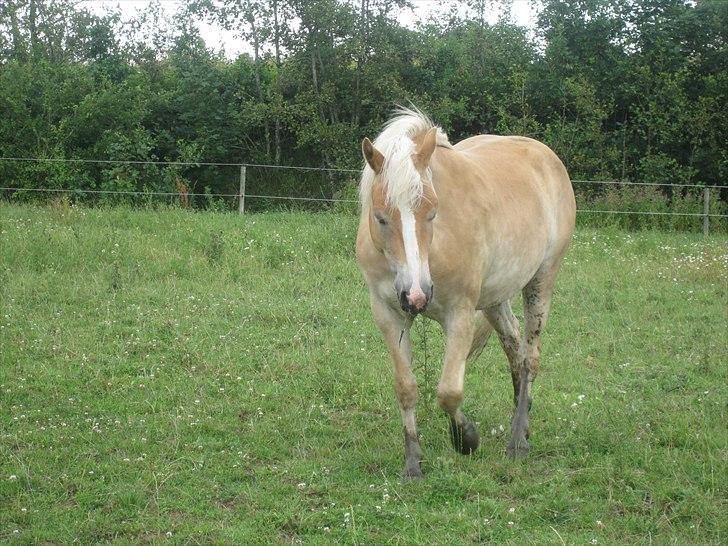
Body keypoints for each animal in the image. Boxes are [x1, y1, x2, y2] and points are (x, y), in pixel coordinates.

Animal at [356, 106, 576, 476]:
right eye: (381, 217)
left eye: (432, 213)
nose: (416, 296)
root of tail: (546, 156)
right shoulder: (388, 315)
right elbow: (406, 388)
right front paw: (413, 462)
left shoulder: (459, 315)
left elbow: (449, 392)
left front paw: (467, 439)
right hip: (495, 298)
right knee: (514, 350)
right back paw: (521, 418)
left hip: (541, 281)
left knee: (530, 358)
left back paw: (518, 440)